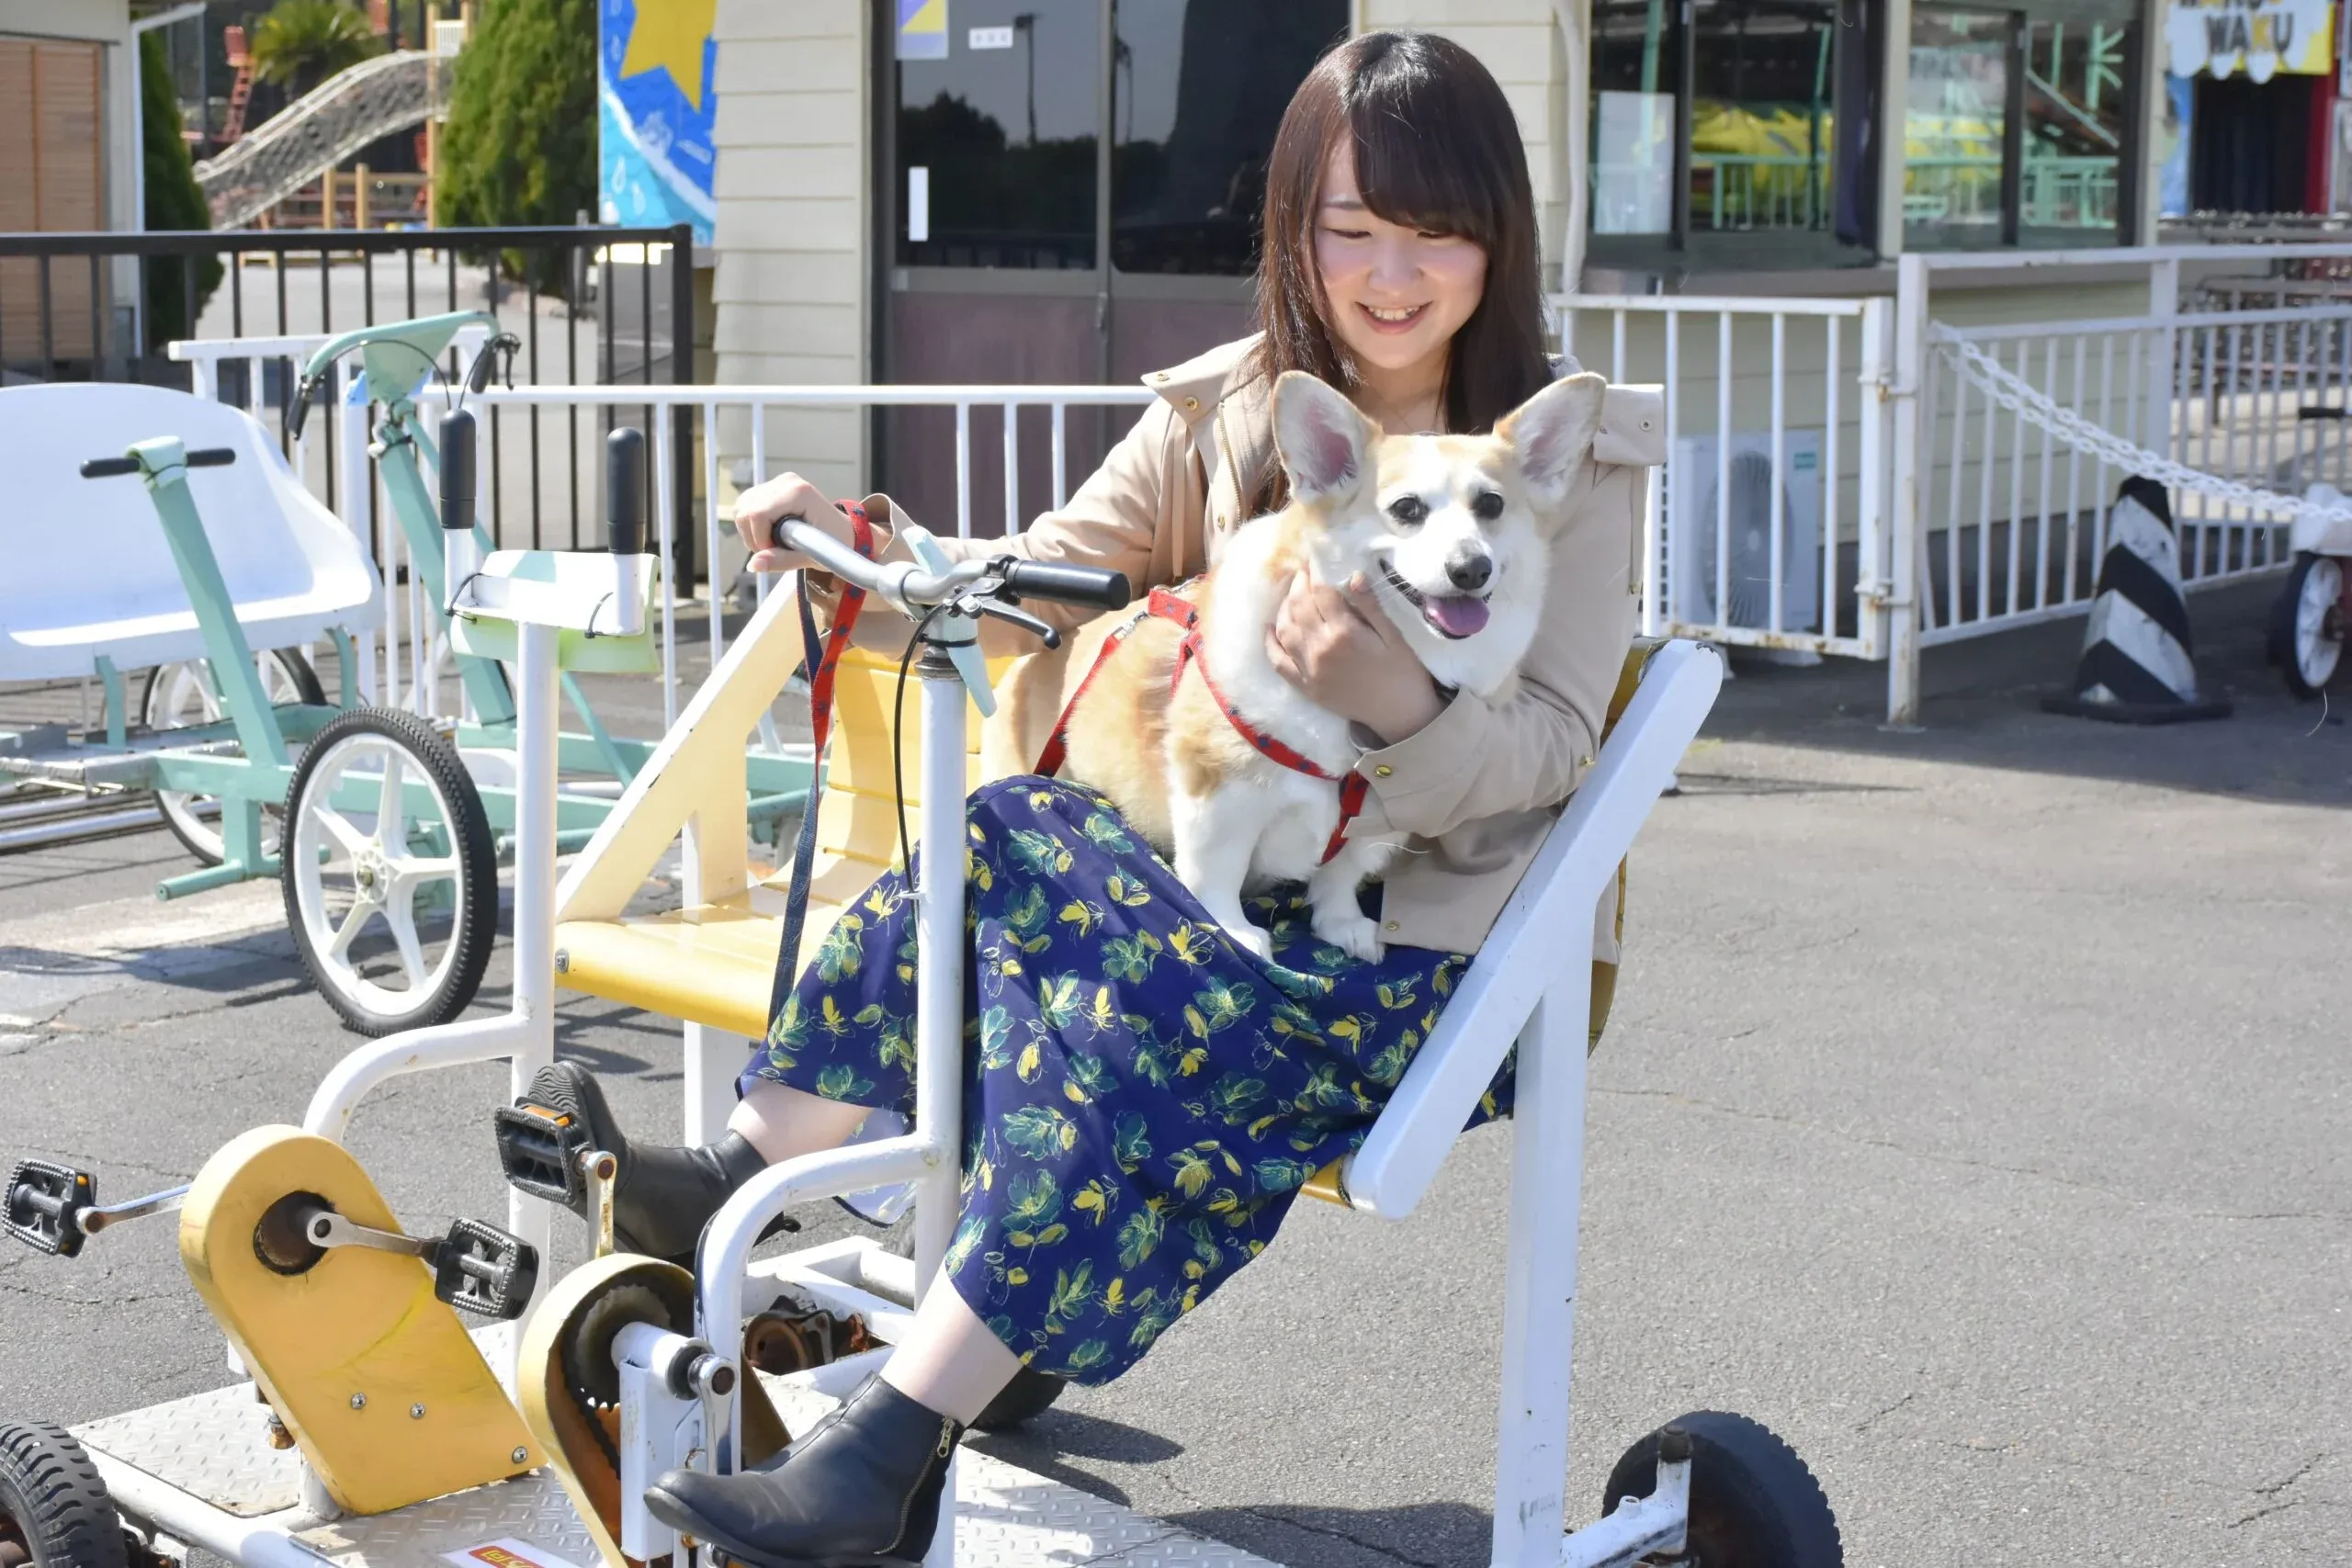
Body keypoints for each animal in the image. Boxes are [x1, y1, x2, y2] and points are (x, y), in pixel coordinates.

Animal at [1058, 368, 1609, 964]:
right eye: (1407, 509)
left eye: (1491, 504)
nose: (1471, 568)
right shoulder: (1218, 790)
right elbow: (1214, 873)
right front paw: (1234, 932)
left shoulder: (1387, 812)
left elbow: (1341, 874)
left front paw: (1341, 924)